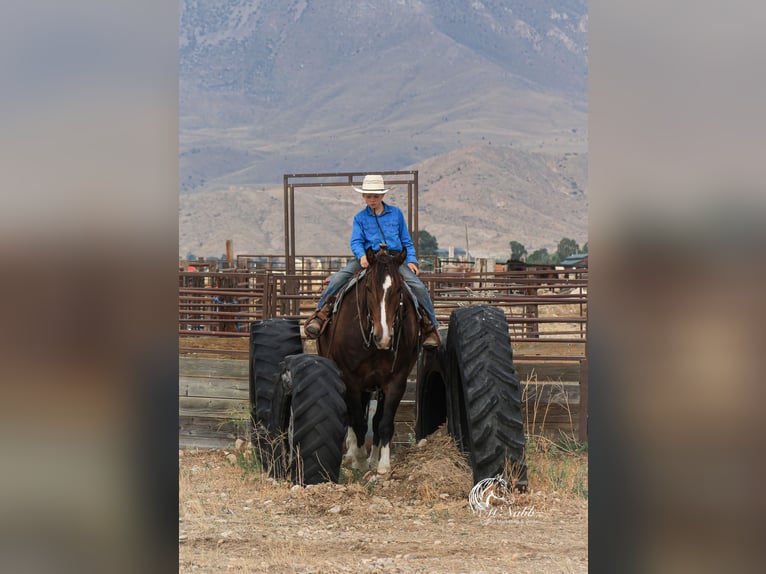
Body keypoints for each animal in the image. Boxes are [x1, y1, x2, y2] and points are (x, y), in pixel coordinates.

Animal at [320, 249, 424, 476]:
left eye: (399, 289)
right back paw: (352, 454)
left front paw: (382, 464)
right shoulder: (351, 381)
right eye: (368, 288)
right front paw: (359, 460)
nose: (382, 337)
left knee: (373, 420)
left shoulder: (395, 381)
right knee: (352, 418)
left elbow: (382, 423)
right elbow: (358, 421)